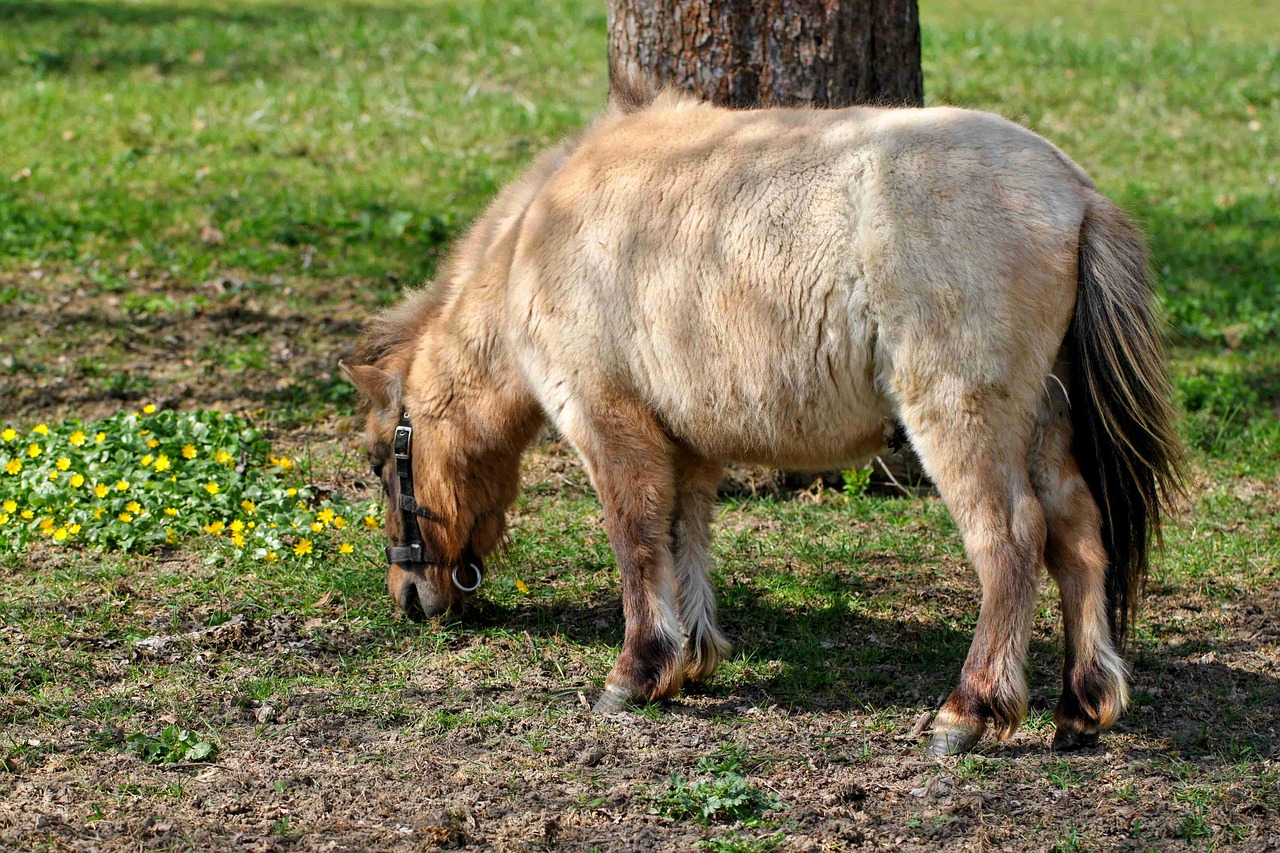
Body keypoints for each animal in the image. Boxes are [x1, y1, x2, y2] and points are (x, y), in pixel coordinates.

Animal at [337, 79, 1177, 753]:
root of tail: (1074, 193)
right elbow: (682, 538)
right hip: (1044, 424)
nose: (409, 596)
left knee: (1011, 540)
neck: (541, 235)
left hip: (963, 423)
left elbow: (636, 539)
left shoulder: (611, 426)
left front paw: (635, 672)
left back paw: (966, 710)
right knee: (1077, 534)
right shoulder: (686, 443)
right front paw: (688, 660)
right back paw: (1083, 703)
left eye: (382, 460)